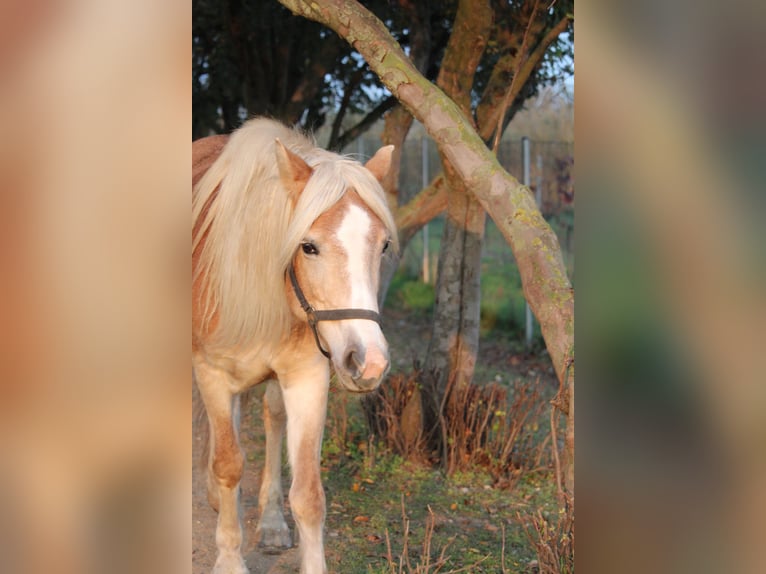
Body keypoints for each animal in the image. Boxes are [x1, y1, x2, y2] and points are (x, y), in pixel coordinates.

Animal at [192, 118, 400, 574]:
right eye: (308, 246)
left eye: (383, 246)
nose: (369, 362)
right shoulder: (212, 373)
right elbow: (229, 464)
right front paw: (230, 558)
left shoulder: (307, 377)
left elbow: (307, 493)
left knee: (270, 420)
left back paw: (269, 520)